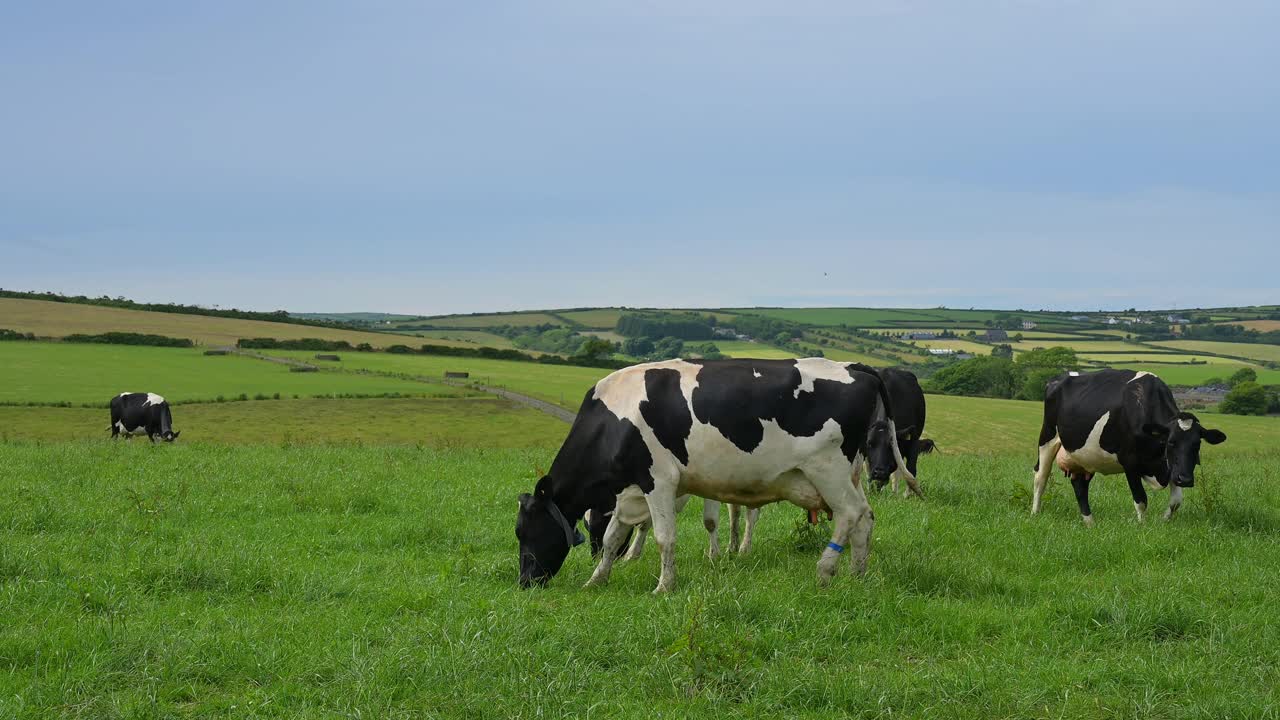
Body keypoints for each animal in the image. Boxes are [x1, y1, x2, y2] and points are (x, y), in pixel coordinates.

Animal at [512, 356, 921, 591]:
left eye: (525, 531)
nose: (525, 582)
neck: (617, 415)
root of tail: (857, 368)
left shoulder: (659, 480)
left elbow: (664, 537)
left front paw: (664, 586)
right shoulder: (630, 489)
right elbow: (614, 537)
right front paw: (596, 579)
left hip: (827, 468)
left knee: (851, 514)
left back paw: (825, 570)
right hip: (848, 471)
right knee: (865, 518)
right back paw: (857, 573)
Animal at [1029, 368, 1218, 520]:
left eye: (1197, 444)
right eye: (1171, 442)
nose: (1185, 479)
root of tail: (1059, 377)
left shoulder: (1171, 467)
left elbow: (1176, 501)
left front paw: (1164, 520)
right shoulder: (1130, 462)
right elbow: (1141, 500)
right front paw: (1143, 527)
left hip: (1085, 456)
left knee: (1080, 485)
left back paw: (1090, 523)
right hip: (1047, 436)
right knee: (1041, 476)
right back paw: (1035, 513)